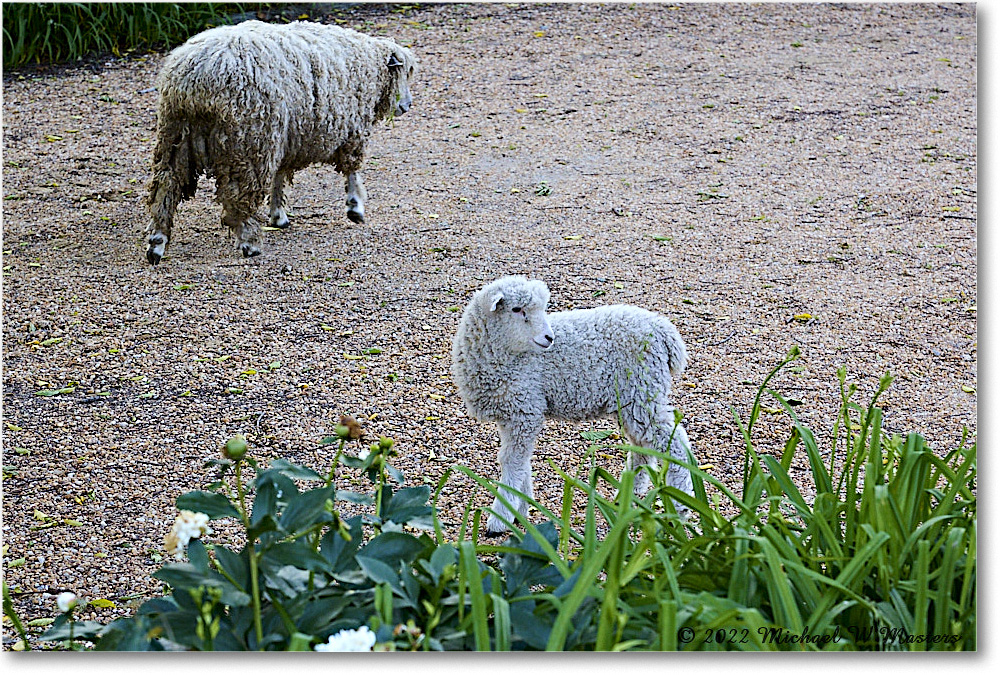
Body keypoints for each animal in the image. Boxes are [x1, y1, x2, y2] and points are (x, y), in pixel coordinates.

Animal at [143, 21, 416, 264]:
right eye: (402, 73)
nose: (406, 105)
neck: (368, 67)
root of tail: (197, 79)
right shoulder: (351, 129)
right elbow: (352, 170)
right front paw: (355, 207)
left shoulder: (286, 136)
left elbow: (280, 175)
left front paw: (278, 215)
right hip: (249, 140)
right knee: (237, 196)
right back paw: (249, 243)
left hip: (175, 136)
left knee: (165, 187)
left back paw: (157, 244)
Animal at [454, 278, 696, 536]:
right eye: (517, 309)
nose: (549, 338)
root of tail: (664, 330)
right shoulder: (514, 413)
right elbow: (522, 463)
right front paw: (521, 508)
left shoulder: (526, 408)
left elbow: (512, 462)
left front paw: (500, 517)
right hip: (634, 399)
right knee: (642, 446)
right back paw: (628, 494)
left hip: (644, 389)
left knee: (675, 442)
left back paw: (681, 505)